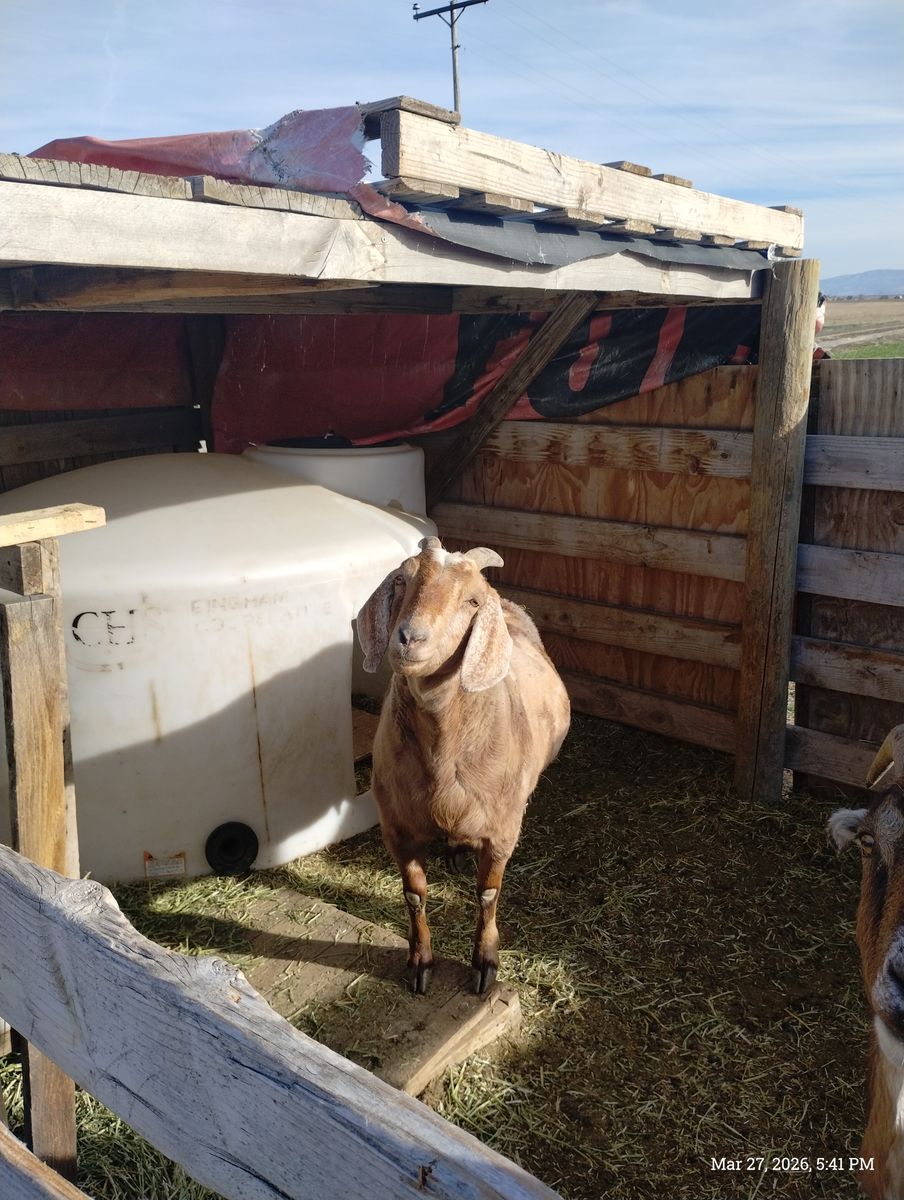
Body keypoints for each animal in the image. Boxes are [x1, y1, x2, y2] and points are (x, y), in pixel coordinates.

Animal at [356, 536, 570, 995]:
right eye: (400, 580)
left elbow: (488, 895)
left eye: (472, 600)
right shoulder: (396, 828)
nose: (409, 638)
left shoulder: (502, 832)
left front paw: (485, 962)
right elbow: (414, 895)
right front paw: (420, 963)